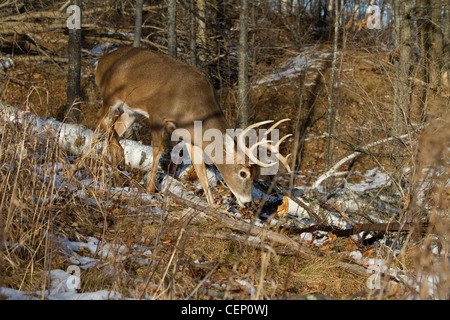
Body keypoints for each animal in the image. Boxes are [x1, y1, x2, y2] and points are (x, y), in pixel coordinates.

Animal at [95, 46, 292, 206]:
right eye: (243, 173)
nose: (248, 202)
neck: (193, 108)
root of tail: (101, 62)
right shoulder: (156, 113)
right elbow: (158, 150)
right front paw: (150, 190)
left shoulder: (191, 136)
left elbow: (201, 171)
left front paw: (214, 207)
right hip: (111, 95)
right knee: (101, 119)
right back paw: (117, 155)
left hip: (130, 111)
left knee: (114, 127)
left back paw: (107, 163)